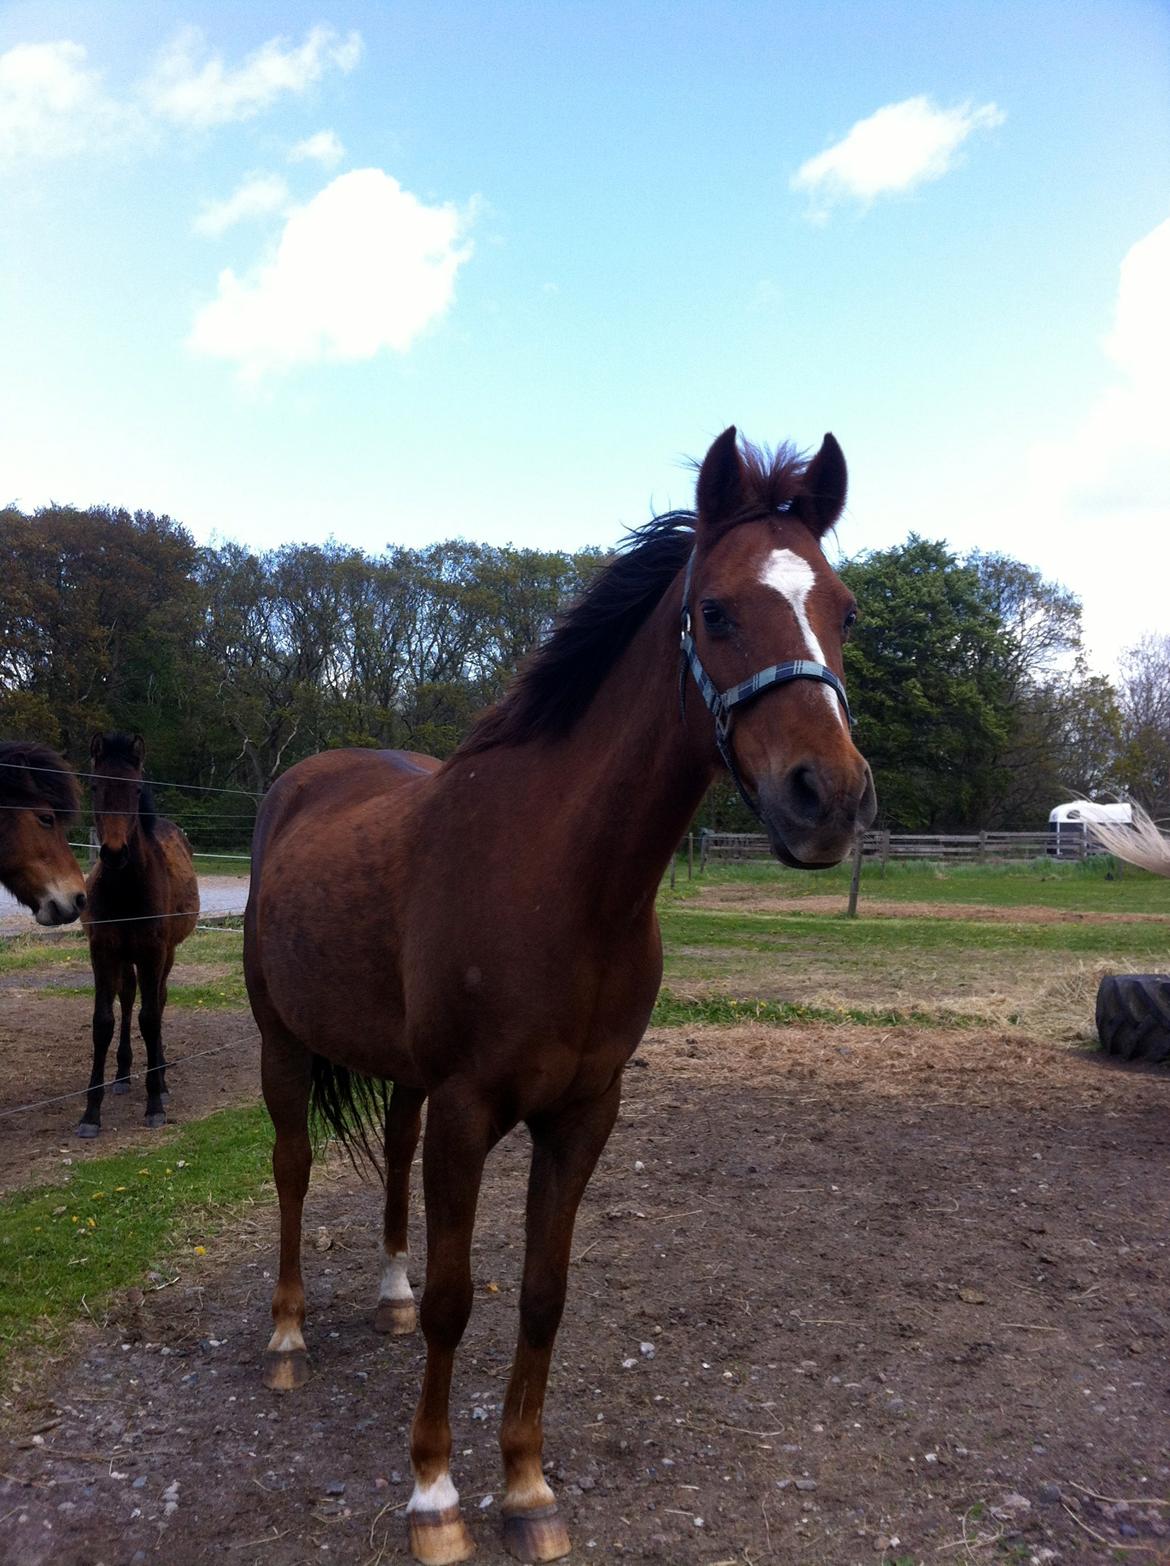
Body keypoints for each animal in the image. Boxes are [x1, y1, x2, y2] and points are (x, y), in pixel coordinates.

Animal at [77, 733, 199, 1138]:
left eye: (135, 789)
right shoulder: (102, 951)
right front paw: (90, 1113)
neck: (127, 890)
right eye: (95, 786)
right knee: (128, 999)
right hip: (125, 959)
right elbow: (103, 1022)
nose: (115, 853)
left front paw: (155, 1104)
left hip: (165, 955)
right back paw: (122, 1075)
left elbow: (150, 1018)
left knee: (157, 1001)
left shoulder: (152, 952)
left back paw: (159, 1077)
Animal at [244, 427, 876, 1565]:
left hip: (404, 1076)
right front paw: (435, 1496)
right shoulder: (469, 1110)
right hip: (280, 1040)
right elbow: (460, 1302)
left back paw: (387, 1294)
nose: (830, 799)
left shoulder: (583, 1113)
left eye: (843, 610)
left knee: (389, 1158)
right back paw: (286, 1337)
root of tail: (300, 781)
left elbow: (543, 1295)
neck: (562, 880)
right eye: (717, 612)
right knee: (293, 1169)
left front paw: (528, 1489)